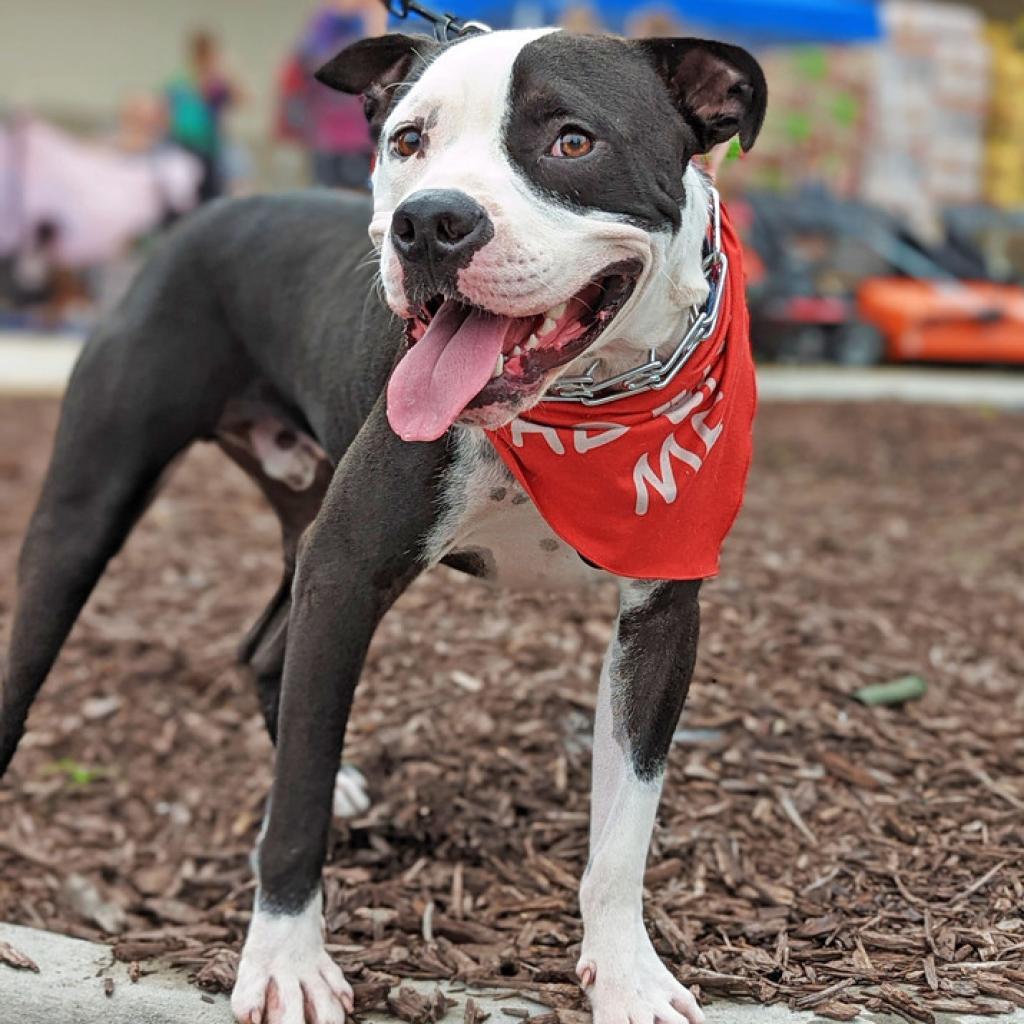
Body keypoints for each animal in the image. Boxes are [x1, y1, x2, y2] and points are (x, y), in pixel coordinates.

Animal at [0, 28, 765, 1024]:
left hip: (302, 518)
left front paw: (627, 971)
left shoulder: (663, 610)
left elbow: (625, 822)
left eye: (572, 141)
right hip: (86, 516)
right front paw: (285, 963)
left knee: (268, 651)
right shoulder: (348, 567)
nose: (430, 223)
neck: (585, 408)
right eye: (408, 141)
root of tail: (201, 218)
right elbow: (292, 815)